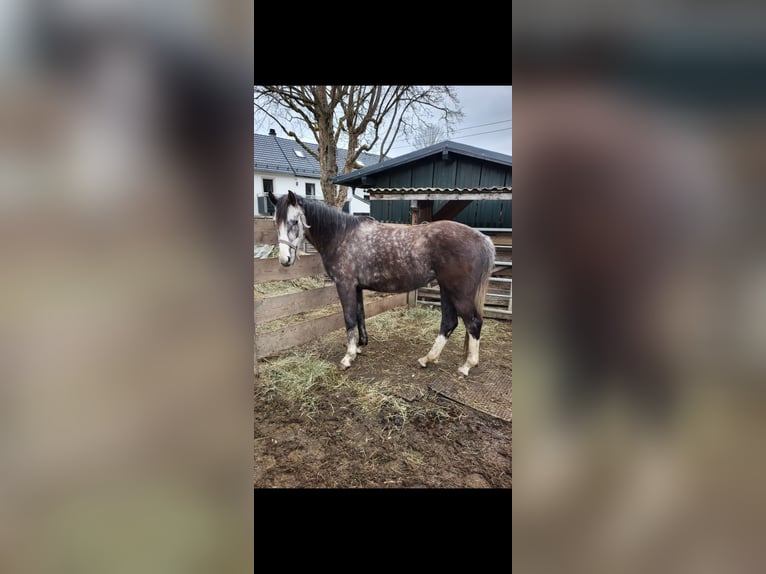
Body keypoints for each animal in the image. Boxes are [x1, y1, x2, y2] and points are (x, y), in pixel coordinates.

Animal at [270, 190, 498, 378]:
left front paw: (348, 357)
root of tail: (482, 239)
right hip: (446, 289)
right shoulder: (357, 287)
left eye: (294, 221)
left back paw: (467, 366)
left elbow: (349, 319)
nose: (284, 260)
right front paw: (360, 346)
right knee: (449, 323)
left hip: (459, 292)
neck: (342, 235)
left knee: (473, 323)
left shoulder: (345, 285)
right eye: (275, 222)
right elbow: (360, 315)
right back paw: (427, 359)